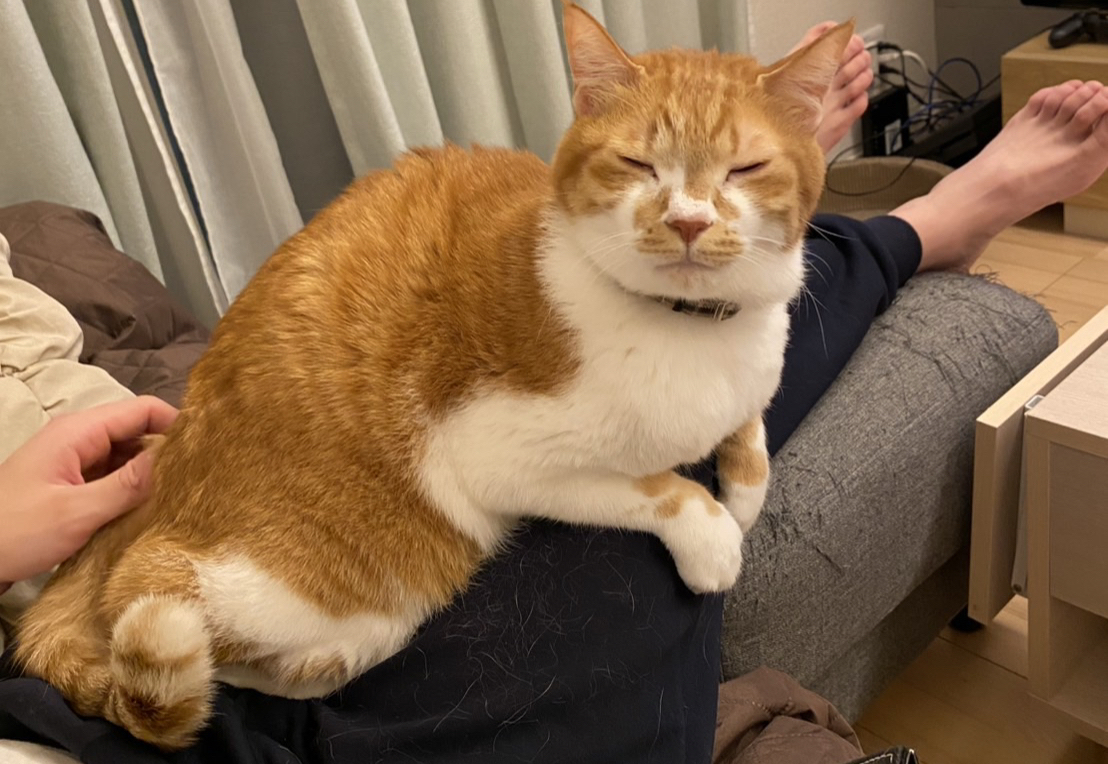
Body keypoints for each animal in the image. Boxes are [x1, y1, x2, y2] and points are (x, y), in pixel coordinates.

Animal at [13, 3, 852, 751]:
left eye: (746, 168)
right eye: (639, 164)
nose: (687, 221)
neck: (690, 328)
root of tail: (152, 495)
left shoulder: (752, 376)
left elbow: (751, 439)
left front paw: (742, 491)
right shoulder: (508, 463)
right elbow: (661, 490)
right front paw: (714, 539)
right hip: (314, 581)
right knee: (217, 650)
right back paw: (333, 657)